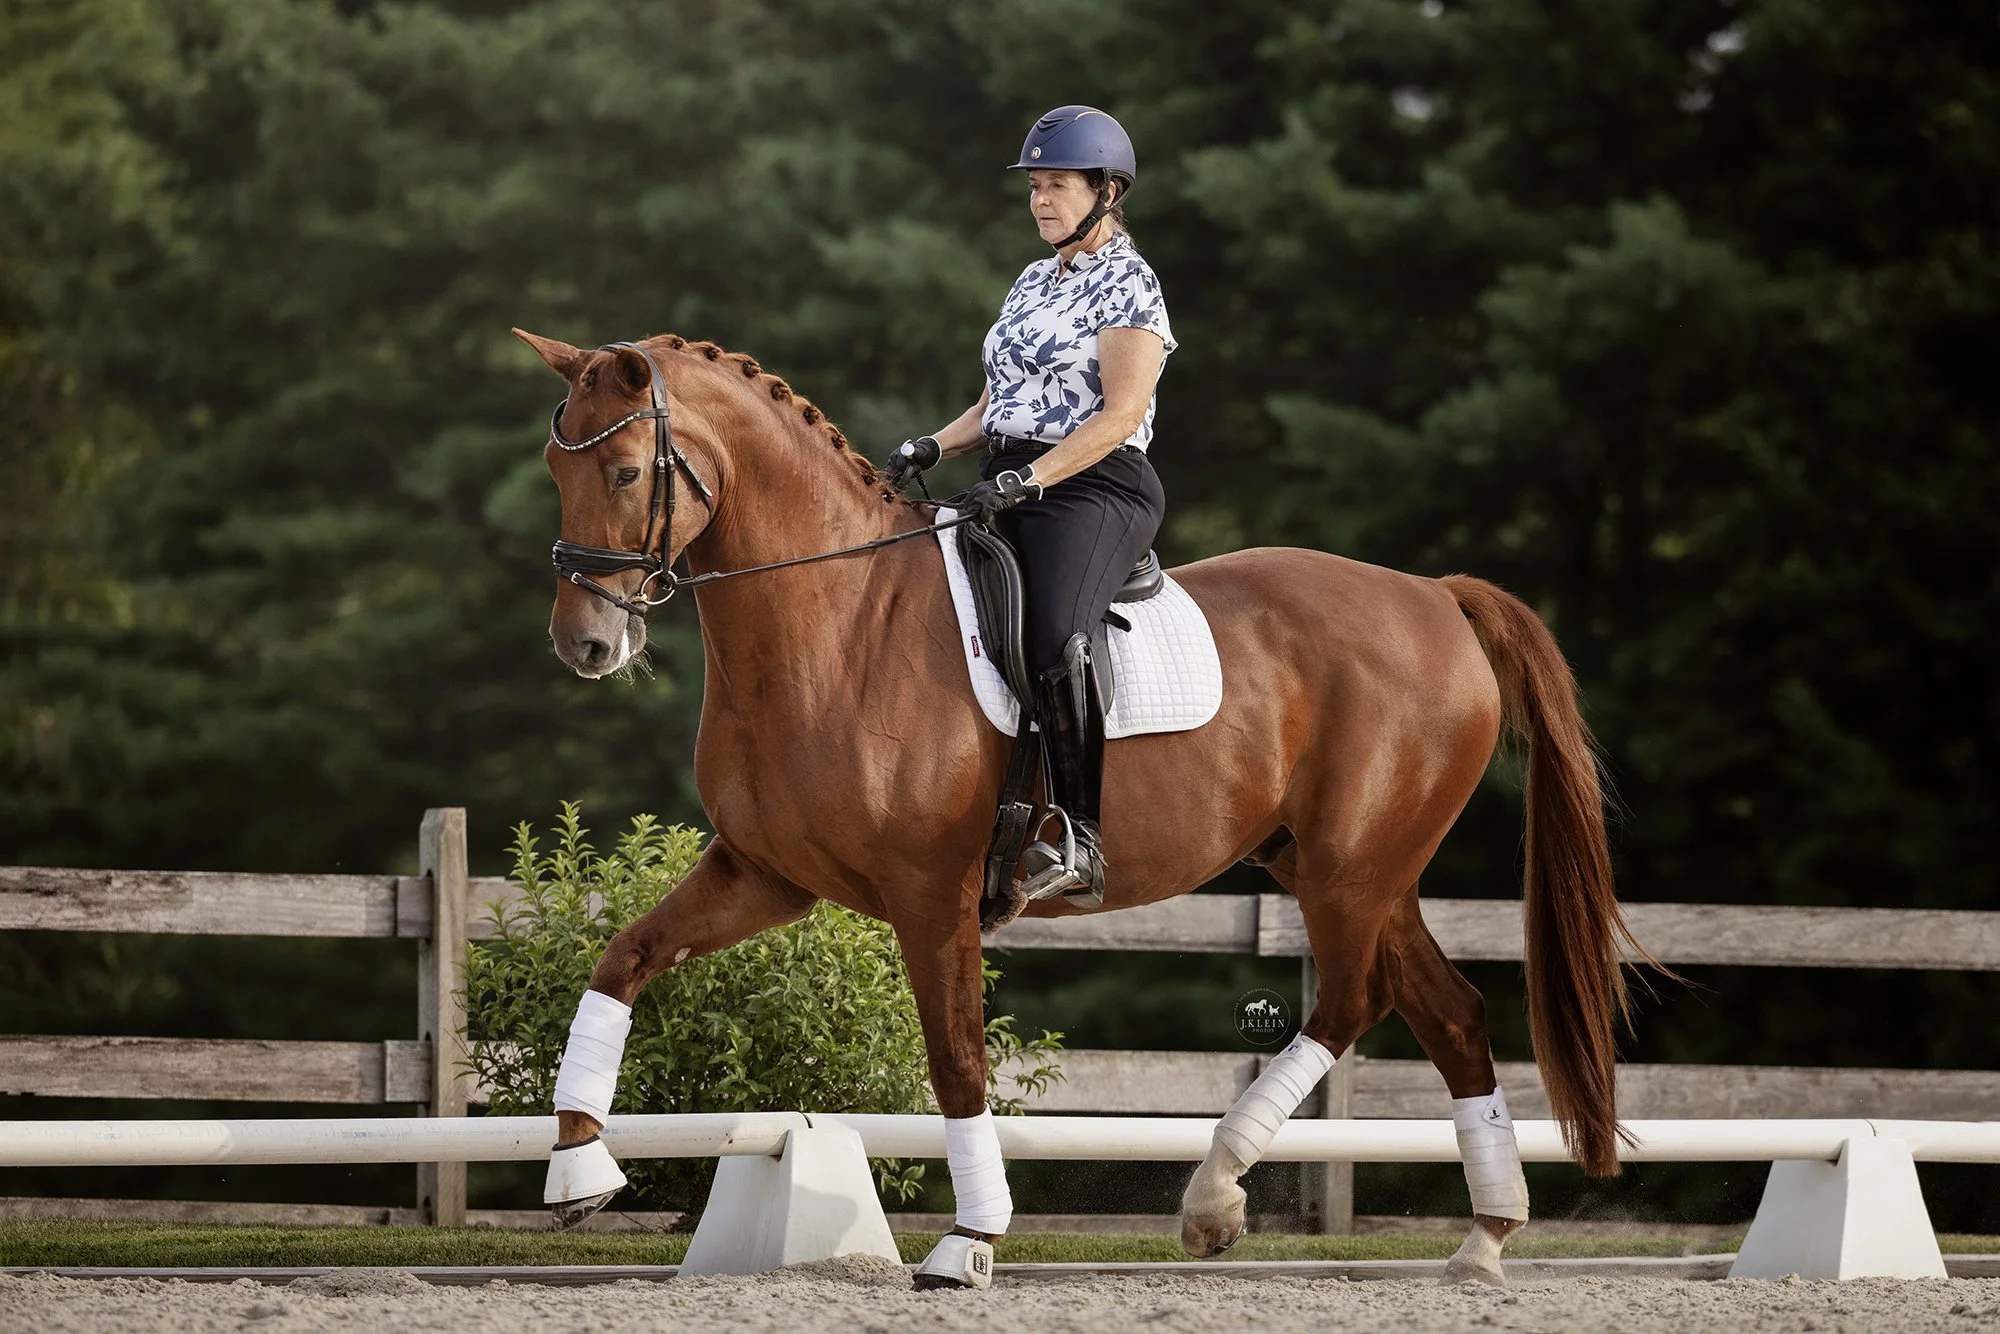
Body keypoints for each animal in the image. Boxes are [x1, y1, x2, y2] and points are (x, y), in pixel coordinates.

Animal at [514, 328, 1640, 1288]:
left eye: (624, 472)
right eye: (555, 471)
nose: (584, 644)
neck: (835, 625)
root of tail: (1434, 595)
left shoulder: (929, 894)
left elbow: (956, 1058)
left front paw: (968, 1244)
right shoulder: (766, 875)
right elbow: (620, 957)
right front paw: (579, 1170)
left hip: (1348, 870)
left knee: (1350, 1004)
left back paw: (1214, 1197)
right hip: (1347, 867)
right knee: (1449, 1012)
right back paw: (1481, 1241)